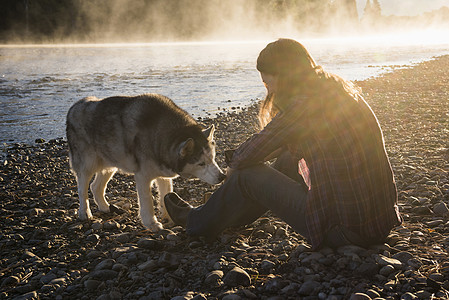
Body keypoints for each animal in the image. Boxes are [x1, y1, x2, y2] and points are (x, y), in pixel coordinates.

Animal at [66, 93, 224, 230]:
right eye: (201, 164)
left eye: (213, 158)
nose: (222, 176)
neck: (159, 132)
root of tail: (74, 106)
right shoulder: (143, 176)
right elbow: (147, 201)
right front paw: (152, 224)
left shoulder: (163, 175)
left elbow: (166, 193)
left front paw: (169, 217)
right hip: (87, 164)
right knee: (82, 189)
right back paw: (84, 213)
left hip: (110, 163)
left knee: (95, 186)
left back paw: (104, 207)